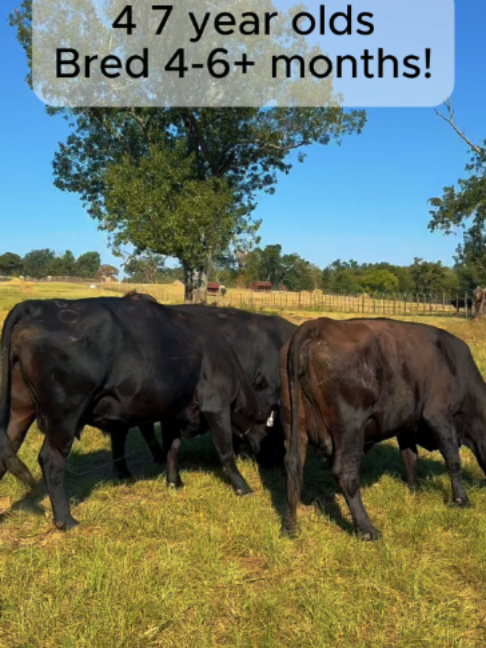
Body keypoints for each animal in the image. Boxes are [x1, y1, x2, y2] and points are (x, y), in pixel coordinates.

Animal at [0, 297, 272, 529]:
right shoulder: (216, 406)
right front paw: (243, 486)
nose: (268, 462)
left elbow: (173, 447)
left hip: (19, 409)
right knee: (52, 459)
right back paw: (66, 520)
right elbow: (225, 451)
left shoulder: (173, 410)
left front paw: (174, 482)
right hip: (65, 415)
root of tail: (37, 306)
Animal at [281, 317, 486, 540]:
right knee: (346, 473)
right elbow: (453, 459)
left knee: (293, 466)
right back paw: (367, 530)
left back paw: (291, 527)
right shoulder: (439, 415)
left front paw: (414, 490)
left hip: (295, 424)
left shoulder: (407, 424)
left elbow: (410, 457)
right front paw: (461, 500)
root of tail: (319, 324)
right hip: (350, 428)